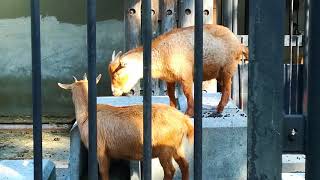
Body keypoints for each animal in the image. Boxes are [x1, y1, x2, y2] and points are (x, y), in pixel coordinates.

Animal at [57, 74, 194, 180]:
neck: (87, 115)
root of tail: (183, 119)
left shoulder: (100, 150)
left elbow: (103, 172)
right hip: (177, 146)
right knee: (185, 165)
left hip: (165, 149)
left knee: (170, 170)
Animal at [109, 23, 249, 116]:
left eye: (117, 74)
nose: (114, 92)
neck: (163, 52)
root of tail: (239, 44)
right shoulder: (170, 79)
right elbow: (171, 94)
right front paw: (172, 109)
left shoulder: (186, 76)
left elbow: (187, 93)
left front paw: (189, 113)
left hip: (227, 70)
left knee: (227, 89)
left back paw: (219, 109)